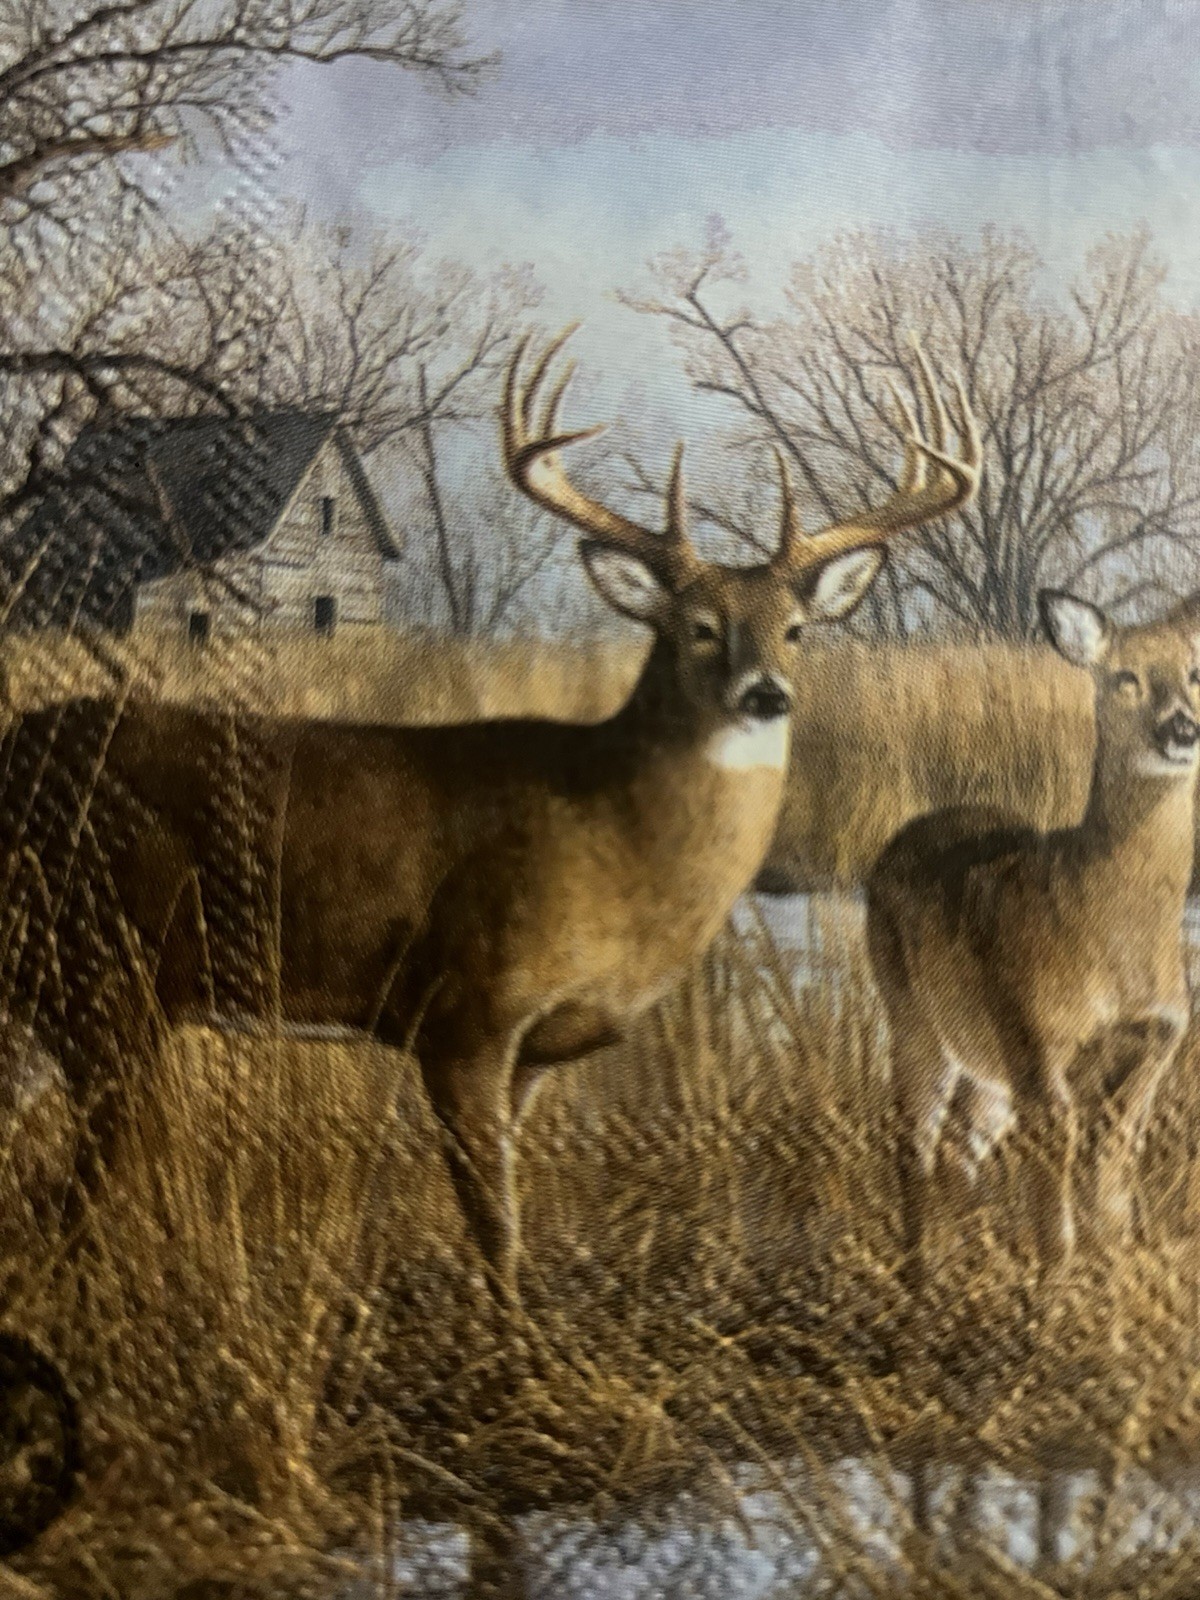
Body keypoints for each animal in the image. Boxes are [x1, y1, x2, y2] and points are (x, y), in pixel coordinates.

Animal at [2, 329, 980, 1306]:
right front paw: (508, 1333)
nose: (767, 694)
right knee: (71, 1198)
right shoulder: (463, 1012)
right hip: (103, 976)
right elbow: (494, 1229)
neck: (612, 839)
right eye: (698, 626)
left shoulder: (531, 1054)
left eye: (797, 629)